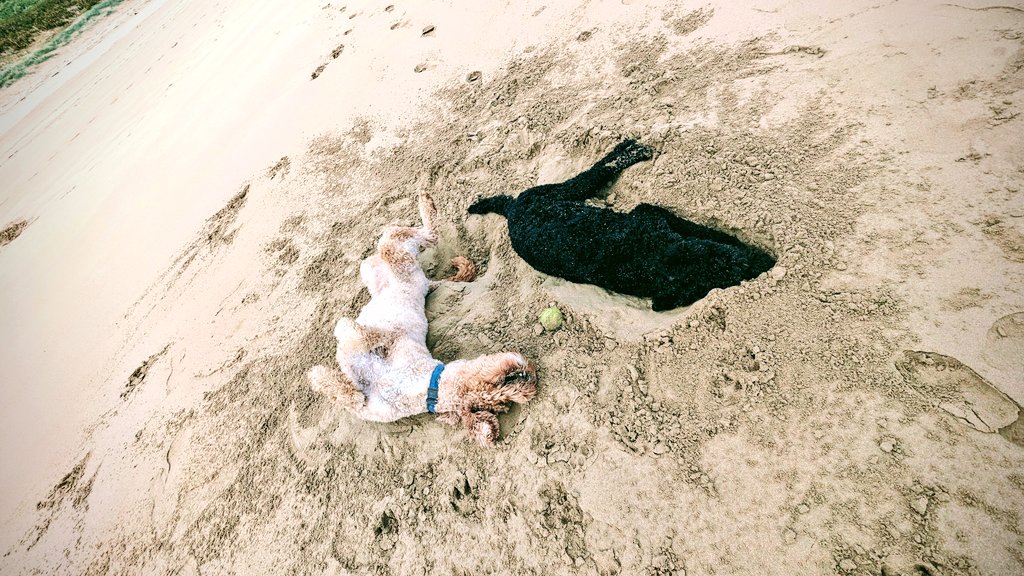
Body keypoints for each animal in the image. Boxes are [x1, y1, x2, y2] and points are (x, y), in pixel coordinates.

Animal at [309, 191, 536, 444]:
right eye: (500, 384)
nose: (528, 374)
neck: (420, 386)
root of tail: (427, 283)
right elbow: (351, 383)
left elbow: (350, 376)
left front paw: (319, 372)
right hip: (376, 268)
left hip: (395, 251)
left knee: (416, 234)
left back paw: (425, 201)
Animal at [468, 139, 770, 309]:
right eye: (730, 275)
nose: (766, 263)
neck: (656, 256)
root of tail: (512, 210)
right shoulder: (652, 219)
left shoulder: (651, 214)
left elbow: (696, 227)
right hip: (562, 191)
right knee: (602, 168)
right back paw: (632, 150)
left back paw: (627, 146)